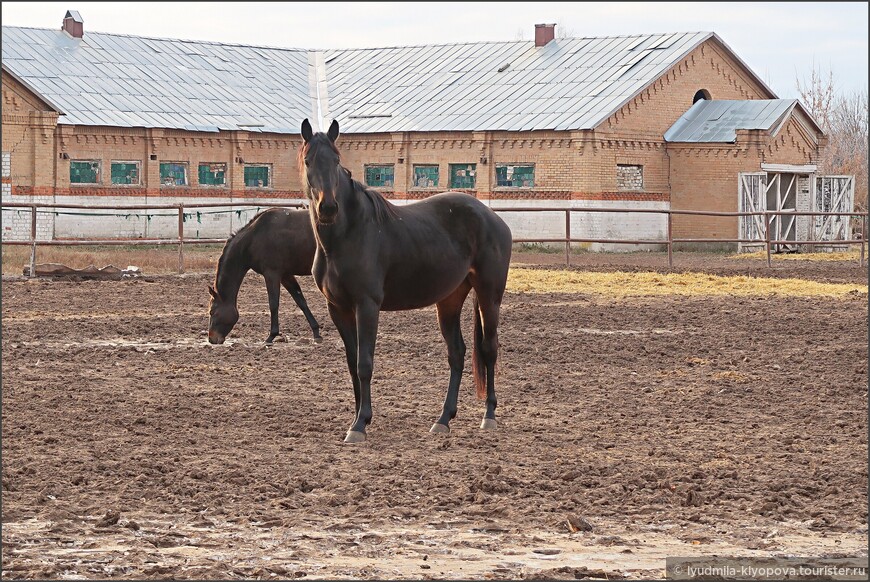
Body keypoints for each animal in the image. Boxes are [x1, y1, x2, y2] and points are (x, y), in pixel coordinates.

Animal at [209, 209, 322, 346]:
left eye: (212, 312)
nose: (211, 339)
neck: (254, 238)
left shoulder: (271, 274)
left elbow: (273, 304)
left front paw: (271, 336)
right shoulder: (286, 275)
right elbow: (301, 301)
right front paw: (316, 333)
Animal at [304, 121, 516, 444]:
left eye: (337, 160)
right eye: (308, 161)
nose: (328, 208)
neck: (347, 236)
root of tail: (491, 216)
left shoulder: (367, 306)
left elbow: (365, 363)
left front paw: (360, 423)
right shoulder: (338, 309)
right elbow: (352, 363)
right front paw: (358, 417)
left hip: (489, 296)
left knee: (489, 348)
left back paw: (488, 415)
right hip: (449, 300)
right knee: (457, 354)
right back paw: (443, 419)